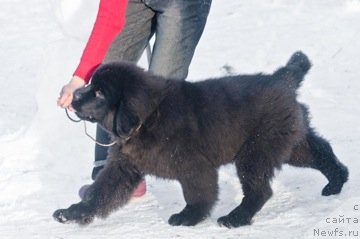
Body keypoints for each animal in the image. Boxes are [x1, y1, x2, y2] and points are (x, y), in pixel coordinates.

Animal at [52, 51, 348, 228]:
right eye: (90, 85)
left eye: (99, 93)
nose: (74, 96)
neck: (147, 118)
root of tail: (283, 79)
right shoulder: (123, 167)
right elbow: (99, 192)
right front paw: (73, 213)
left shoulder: (195, 166)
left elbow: (198, 193)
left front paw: (189, 216)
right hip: (288, 143)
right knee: (321, 151)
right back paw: (337, 180)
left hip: (256, 151)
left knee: (260, 190)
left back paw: (236, 218)